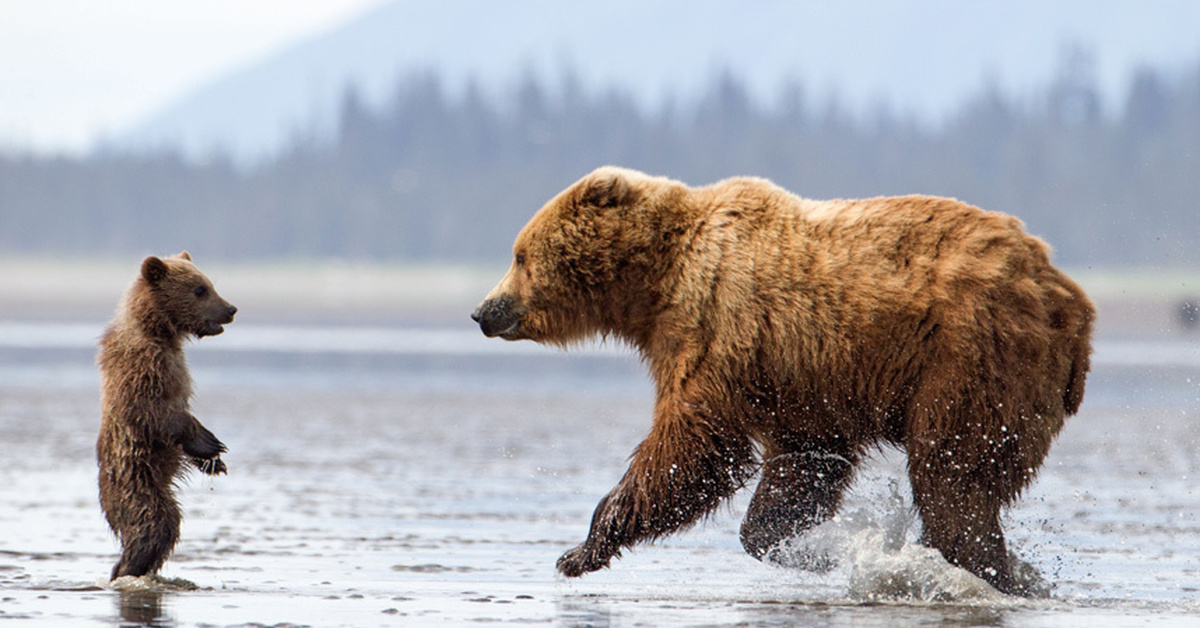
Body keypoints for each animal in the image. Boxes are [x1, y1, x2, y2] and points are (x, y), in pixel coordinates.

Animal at [472, 166, 1094, 595]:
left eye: (520, 255)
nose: (483, 310)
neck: (654, 288)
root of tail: (1071, 300)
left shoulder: (714, 326)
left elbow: (693, 451)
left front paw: (580, 550)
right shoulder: (797, 385)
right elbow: (802, 466)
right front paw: (803, 546)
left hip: (971, 358)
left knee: (954, 473)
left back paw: (975, 565)